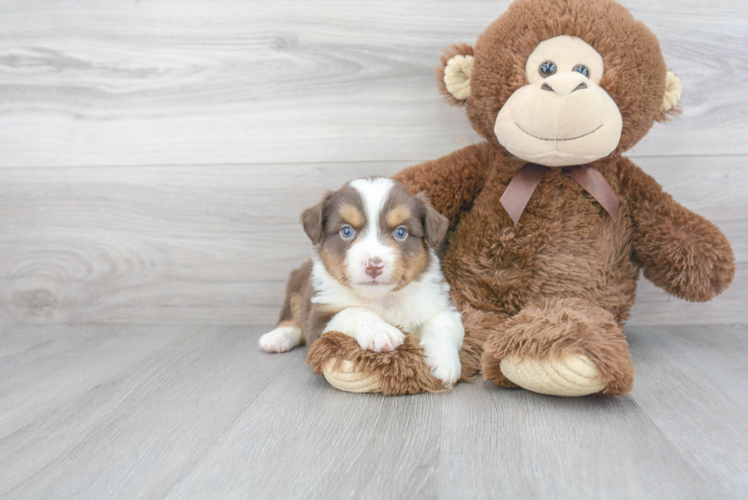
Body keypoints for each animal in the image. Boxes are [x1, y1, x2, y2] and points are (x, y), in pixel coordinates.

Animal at [260, 178, 464, 384]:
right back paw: (276, 338)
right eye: (346, 231)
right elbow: (353, 311)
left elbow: (442, 323)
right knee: (291, 318)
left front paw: (442, 362)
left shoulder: (441, 302)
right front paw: (381, 331)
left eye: (401, 232)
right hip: (296, 283)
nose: (374, 265)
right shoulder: (318, 321)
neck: (381, 298)